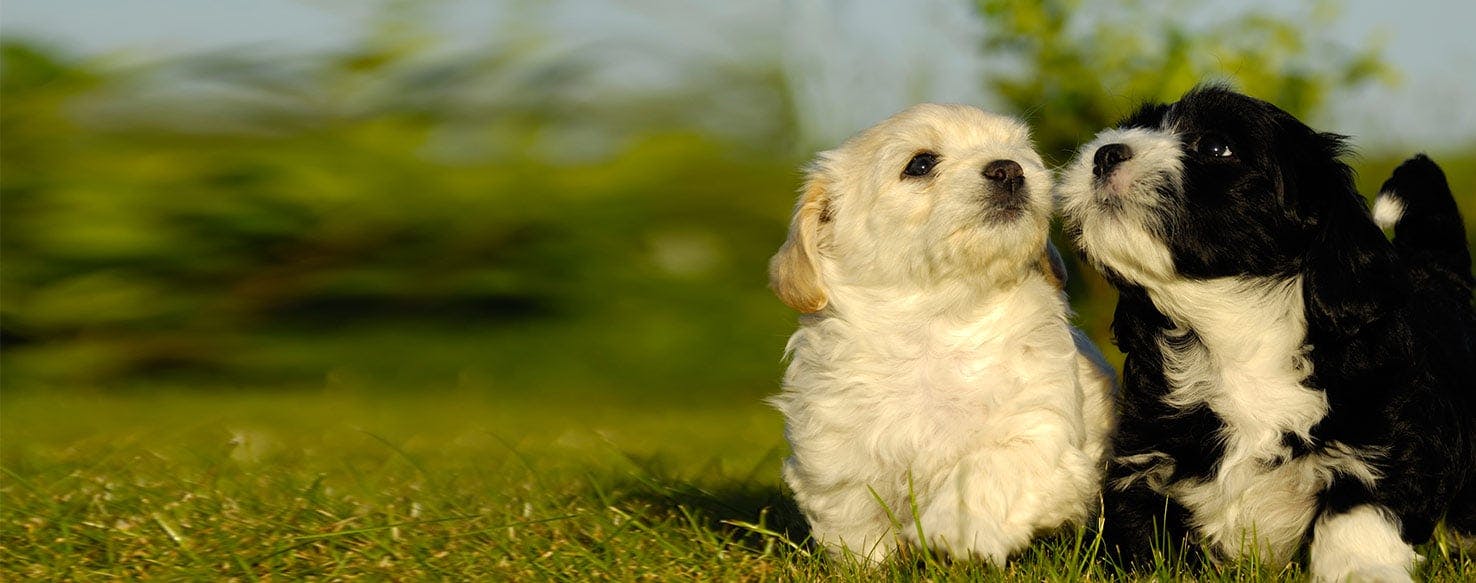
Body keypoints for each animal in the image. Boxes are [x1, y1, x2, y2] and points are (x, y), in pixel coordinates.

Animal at [767, 104, 1109, 566]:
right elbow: (855, 524)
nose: (1009, 168)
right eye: (921, 164)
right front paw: (874, 565)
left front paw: (951, 532)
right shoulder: (836, 455)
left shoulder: (1040, 431)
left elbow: (986, 467)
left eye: (1020, 149)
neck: (939, 322)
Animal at [1056, 84, 1470, 581]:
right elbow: (1143, 536)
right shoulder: (1143, 457)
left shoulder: (1395, 441)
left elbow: (1356, 515)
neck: (1237, 336)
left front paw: (1364, 571)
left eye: (1216, 147)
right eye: (1134, 126)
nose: (1105, 154)